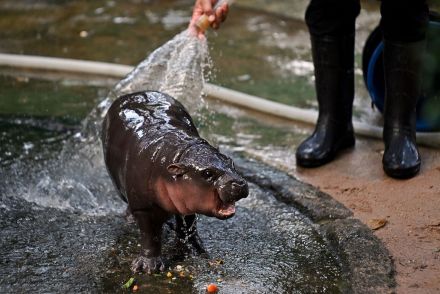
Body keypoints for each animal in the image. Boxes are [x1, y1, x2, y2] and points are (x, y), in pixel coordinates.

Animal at [101, 91, 249, 274]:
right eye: (207, 173)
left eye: (231, 161)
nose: (239, 183)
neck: (178, 155)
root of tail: (133, 93)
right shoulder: (144, 208)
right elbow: (150, 236)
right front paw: (149, 267)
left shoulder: (187, 202)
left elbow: (189, 225)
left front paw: (195, 250)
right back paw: (130, 218)